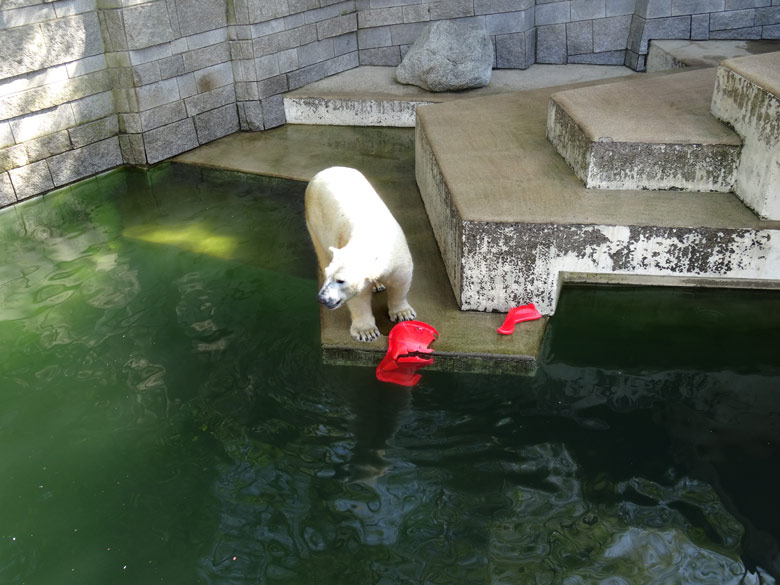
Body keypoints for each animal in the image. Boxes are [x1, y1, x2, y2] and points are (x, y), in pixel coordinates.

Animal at [304, 165, 418, 342]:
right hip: (313, 220)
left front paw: (403, 314)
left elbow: (400, 282)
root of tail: (326, 170)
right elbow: (358, 298)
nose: (322, 298)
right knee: (322, 250)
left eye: (340, 280)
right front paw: (367, 332)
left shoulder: (398, 257)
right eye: (330, 276)